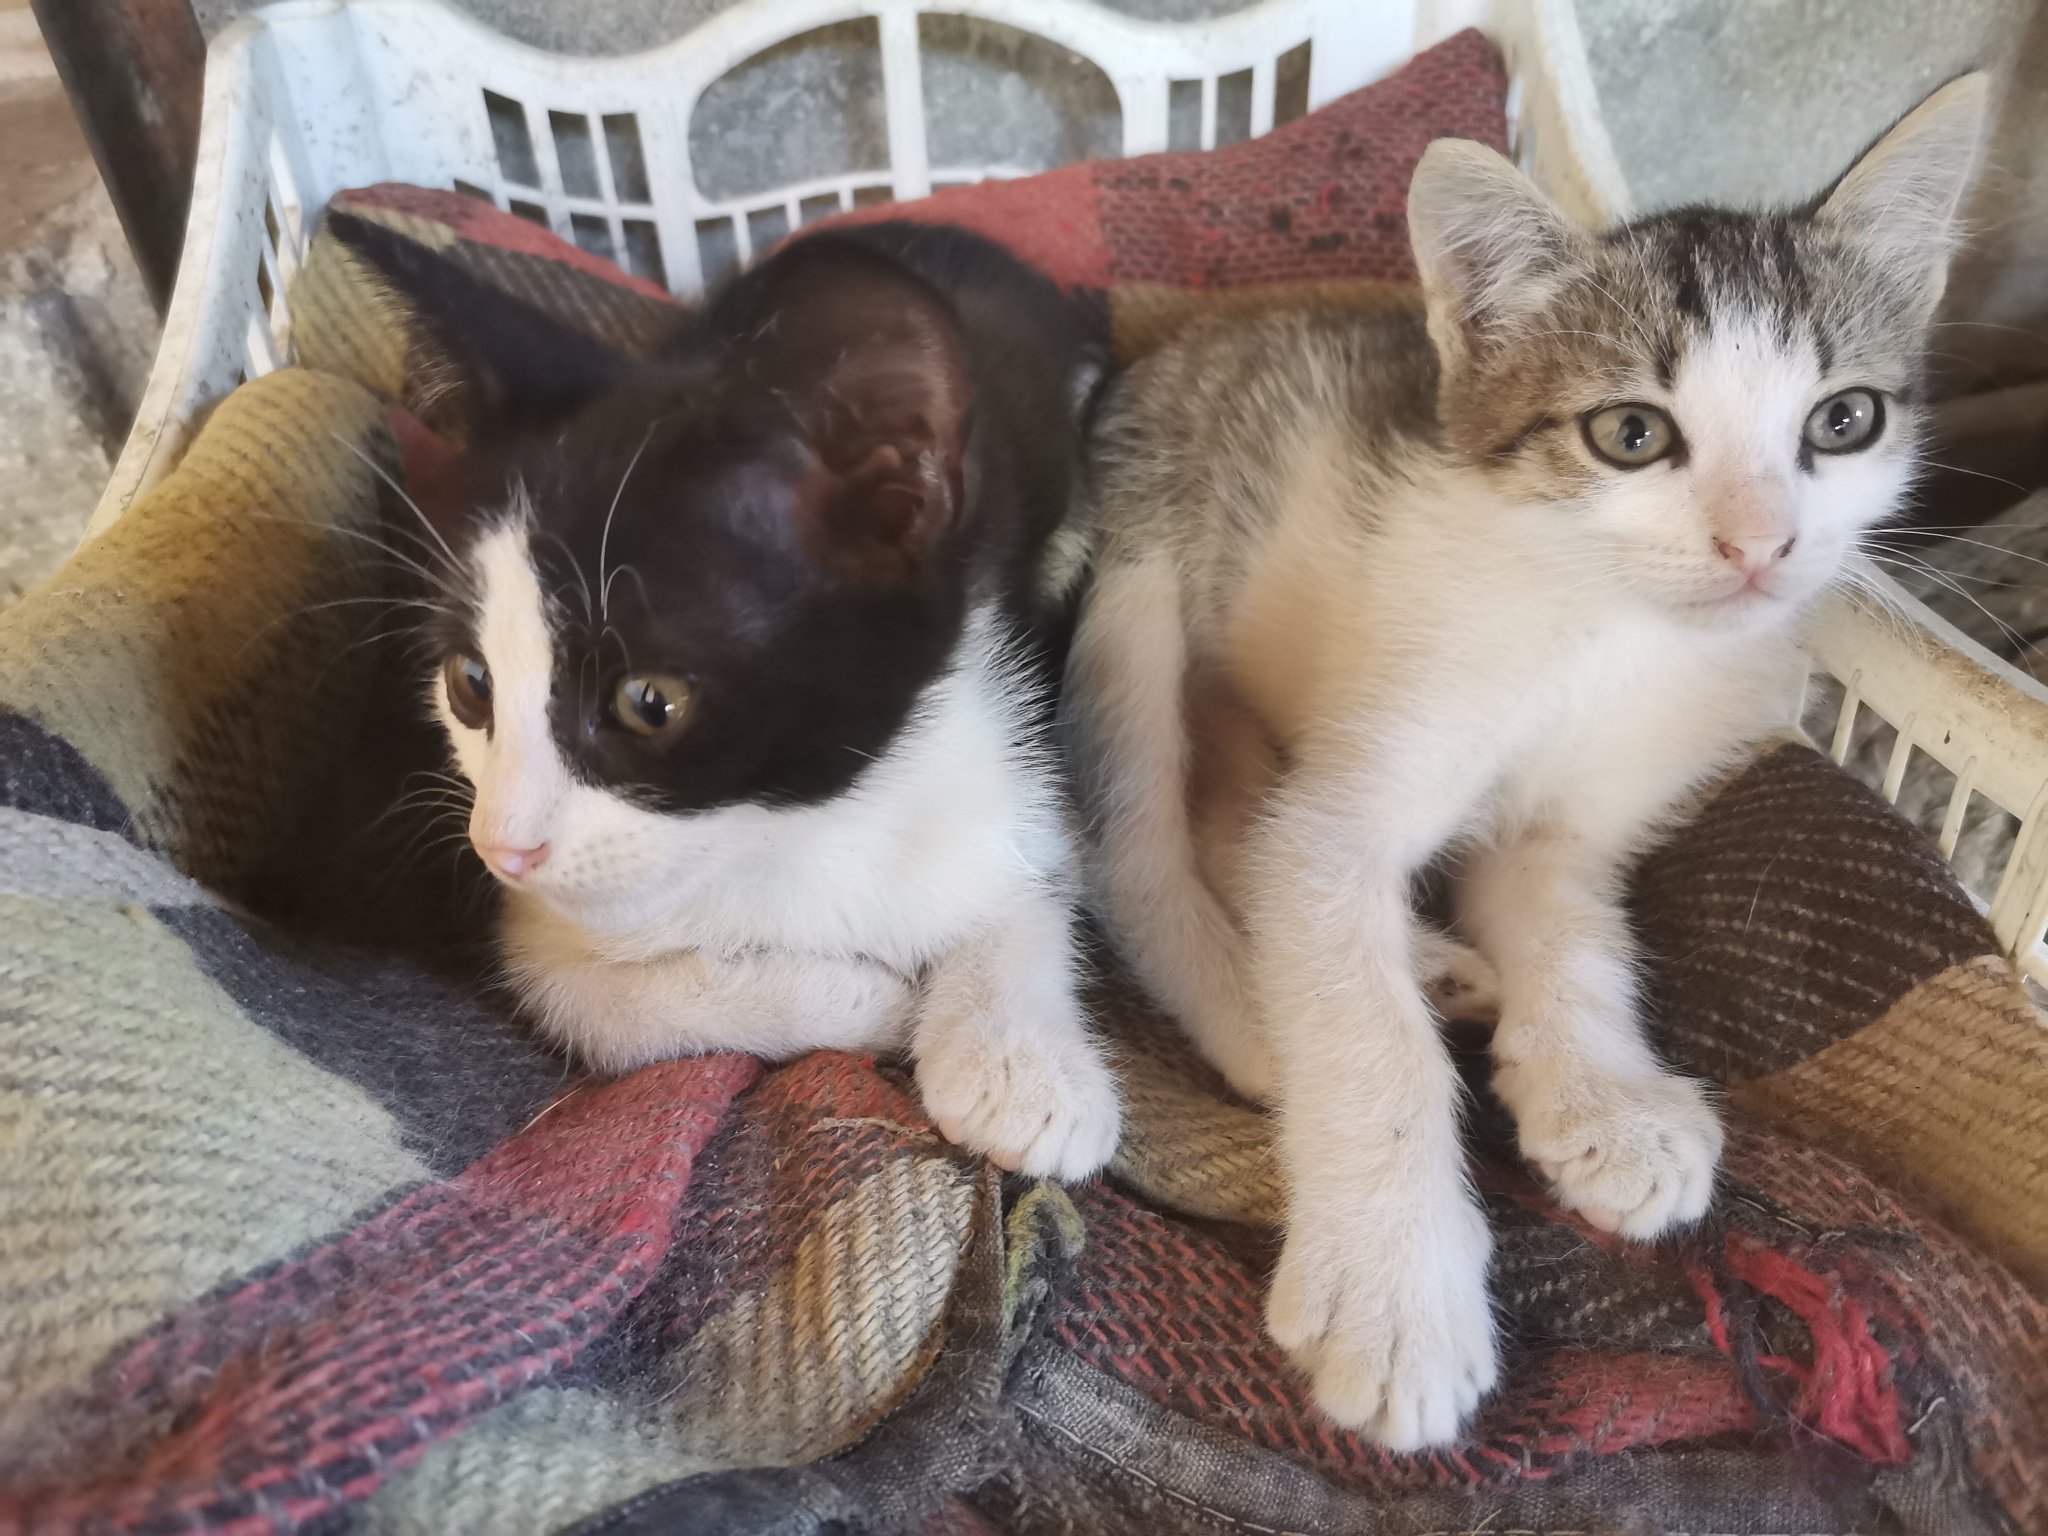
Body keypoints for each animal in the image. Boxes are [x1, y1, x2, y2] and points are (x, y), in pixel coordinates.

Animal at [330, 214, 1121, 1179]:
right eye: (470, 683)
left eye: (649, 702)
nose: (502, 848)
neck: (776, 830)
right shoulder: (542, 922)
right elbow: (590, 998)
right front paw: (865, 1000)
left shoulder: (998, 732)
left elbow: (1030, 889)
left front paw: (1020, 1065)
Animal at [1063, 75, 1987, 1448]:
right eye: (1629, 433)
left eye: (1843, 419)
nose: (1760, 545)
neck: (1603, 626)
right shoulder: (1351, 802)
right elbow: (1354, 1000)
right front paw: (1392, 1289)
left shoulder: (1562, 828)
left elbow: (1569, 926)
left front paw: (1602, 1102)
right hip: (1139, 573)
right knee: (1136, 847)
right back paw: (1256, 1023)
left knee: (1235, 813)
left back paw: (1432, 963)